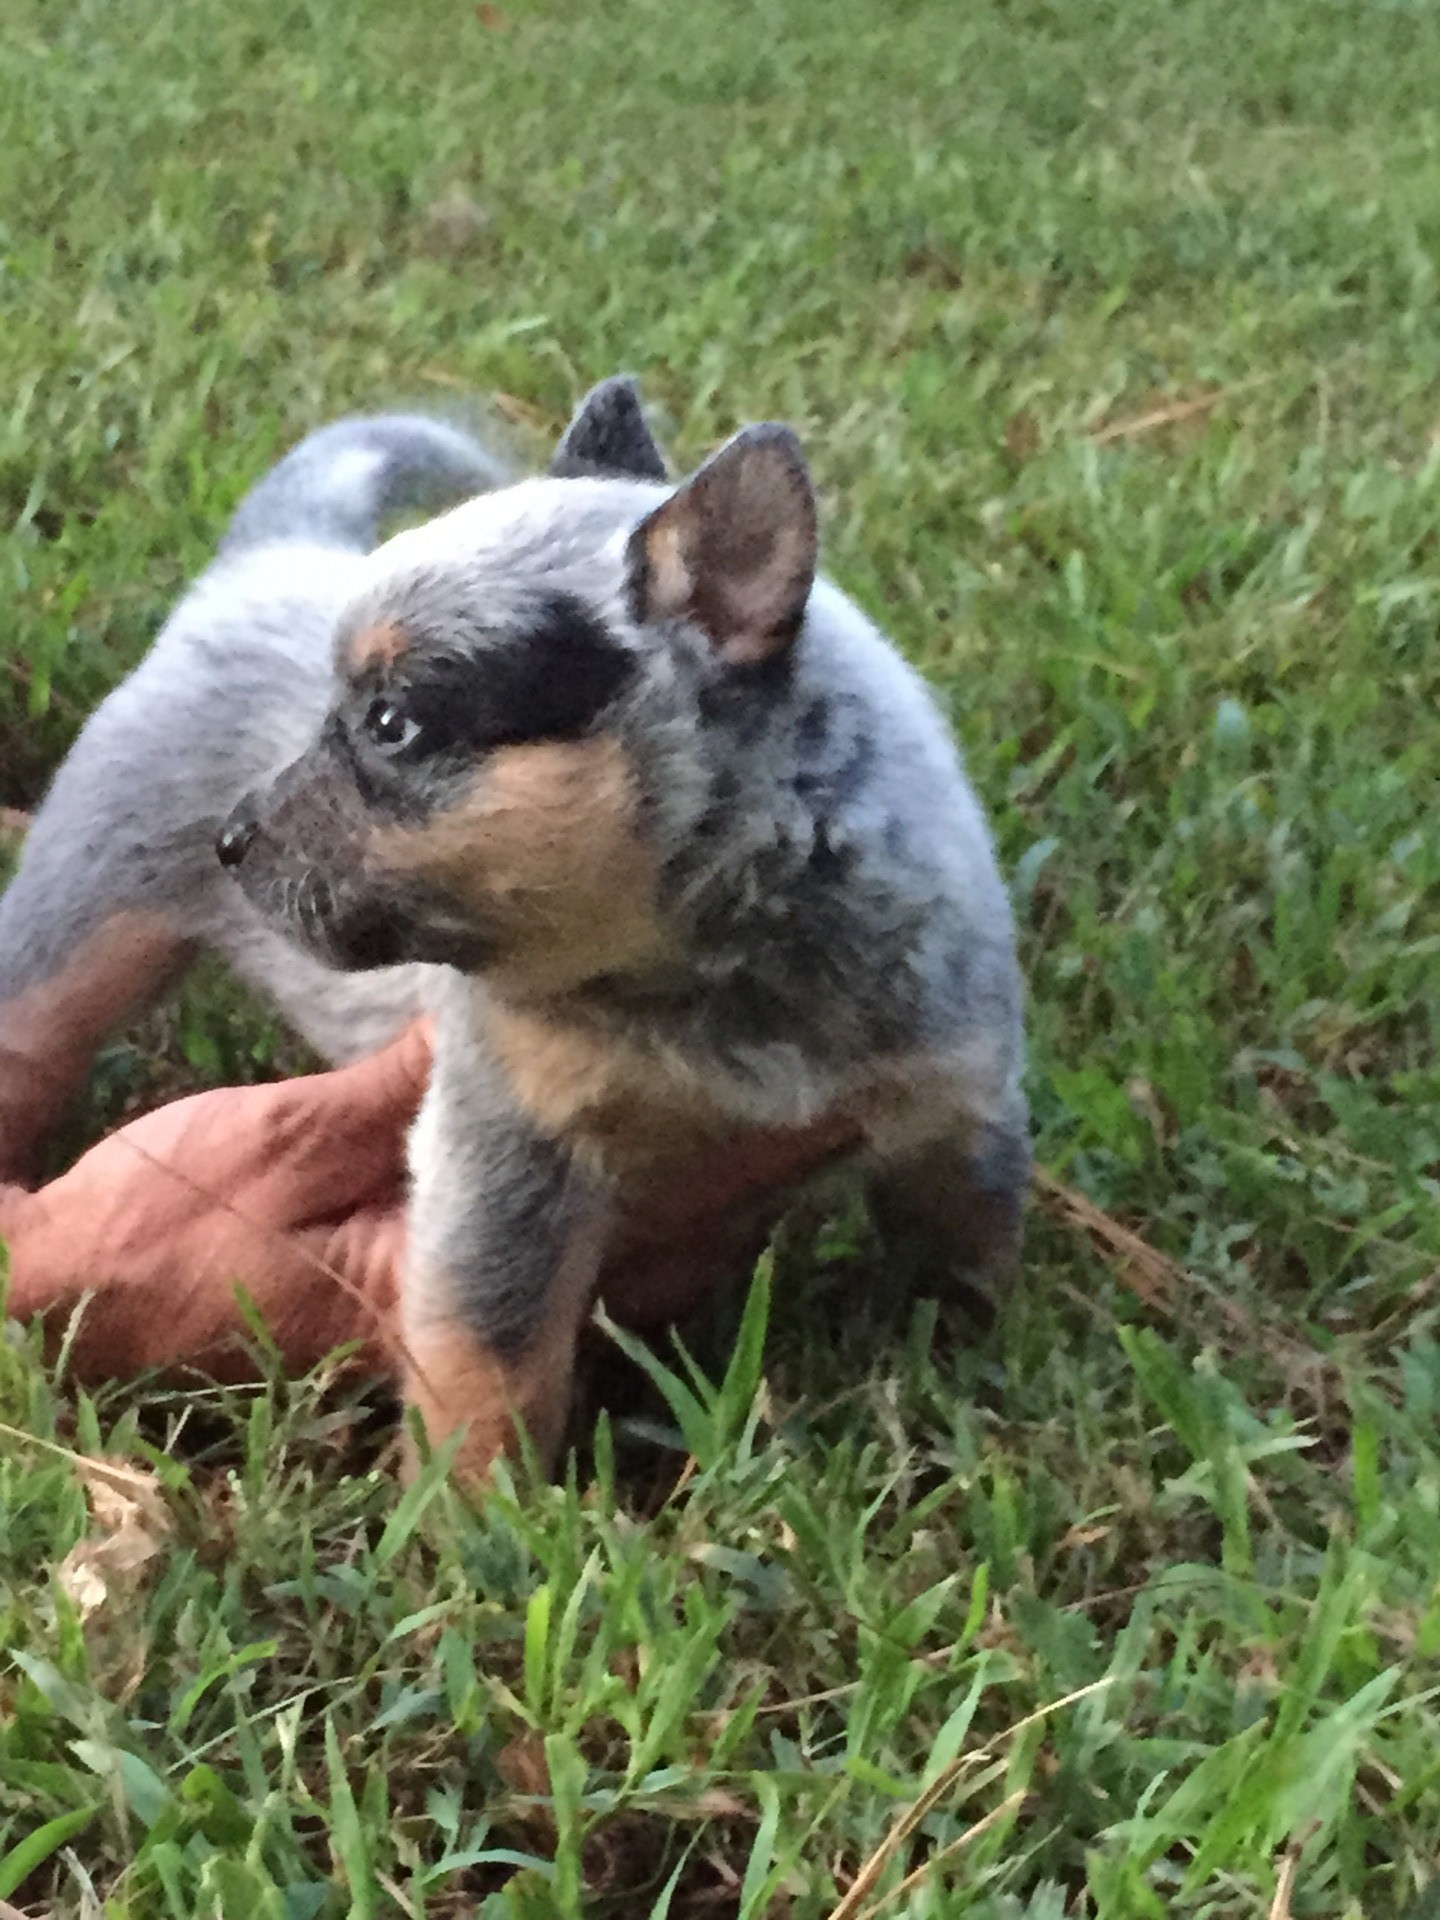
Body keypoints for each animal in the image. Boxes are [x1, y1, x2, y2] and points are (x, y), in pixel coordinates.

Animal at [2, 378, 1036, 1482]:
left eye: (390, 724)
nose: (230, 839)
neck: (703, 970)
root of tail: (267, 554)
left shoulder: (957, 1102)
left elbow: (970, 1258)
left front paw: (973, 1380)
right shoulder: (507, 1152)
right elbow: (488, 1357)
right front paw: (479, 1512)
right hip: (80, 915)